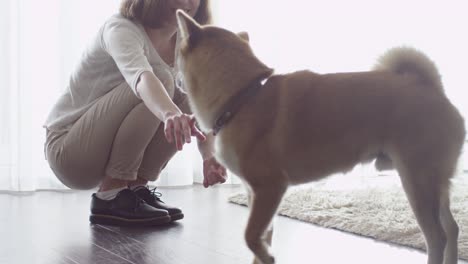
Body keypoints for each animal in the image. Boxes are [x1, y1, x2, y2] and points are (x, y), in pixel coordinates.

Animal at [176, 9, 464, 262]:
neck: (243, 97)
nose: (175, 77)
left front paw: (267, 255)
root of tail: (433, 89)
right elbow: (259, 237)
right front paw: (264, 256)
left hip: (417, 181)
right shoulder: (255, 194)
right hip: (432, 183)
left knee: (437, 237)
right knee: (452, 229)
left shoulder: (269, 189)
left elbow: (250, 236)